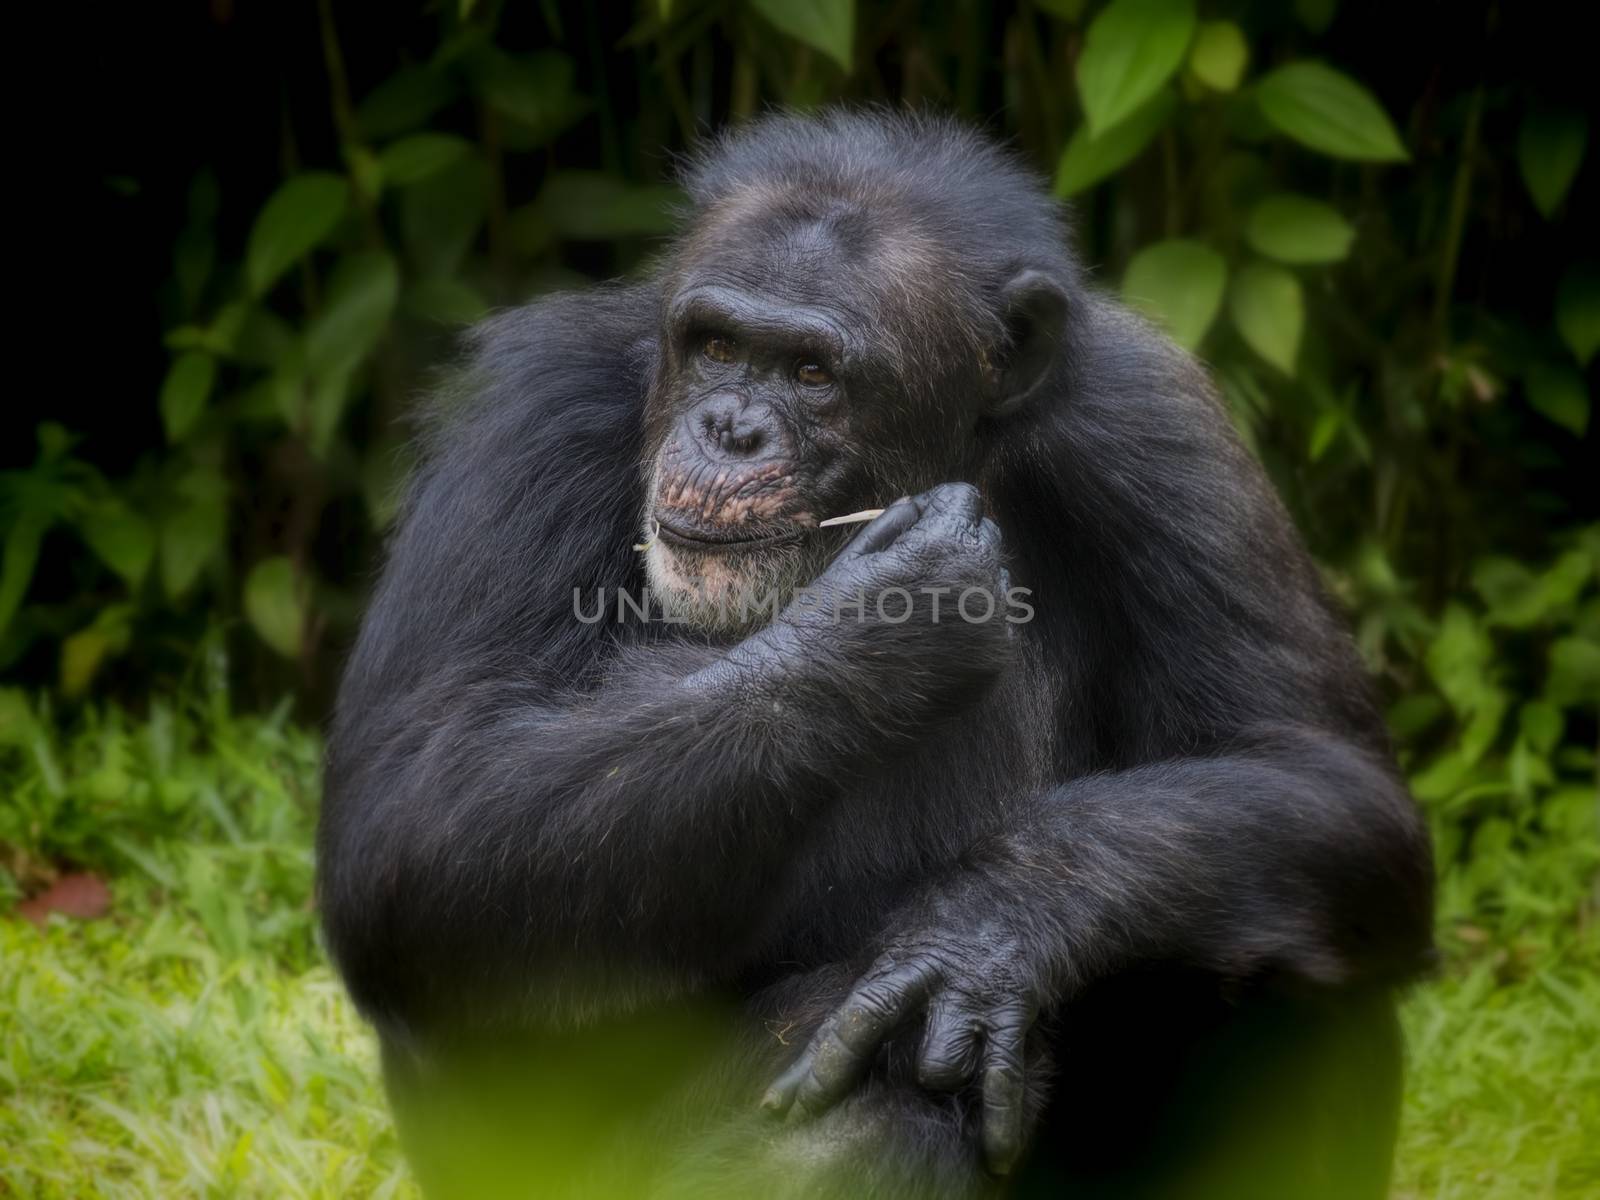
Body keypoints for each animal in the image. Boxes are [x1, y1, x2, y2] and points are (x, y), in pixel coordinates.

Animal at [318, 112, 1433, 1200]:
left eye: (813, 373)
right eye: (715, 346)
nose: (729, 428)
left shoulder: (1161, 432)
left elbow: (1316, 769)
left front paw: (991, 924)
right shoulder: (530, 424)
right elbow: (420, 815)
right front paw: (890, 618)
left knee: (1286, 945)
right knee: (877, 1100)